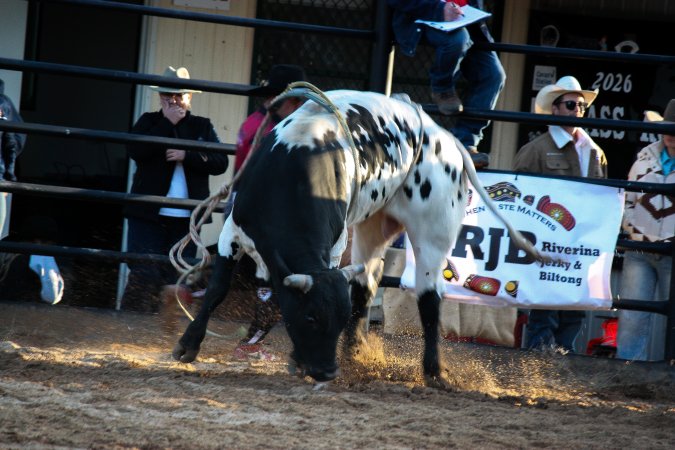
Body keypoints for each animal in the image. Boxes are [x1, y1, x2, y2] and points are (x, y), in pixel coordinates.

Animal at [172, 89, 544, 387]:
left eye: (333, 319)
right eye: (310, 317)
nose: (326, 372)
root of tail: (446, 138)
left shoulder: (335, 247)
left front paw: (297, 360)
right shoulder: (232, 231)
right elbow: (218, 290)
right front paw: (187, 345)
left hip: (433, 231)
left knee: (429, 297)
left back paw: (433, 372)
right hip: (373, 225)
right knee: (366, 284)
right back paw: (355, 354)